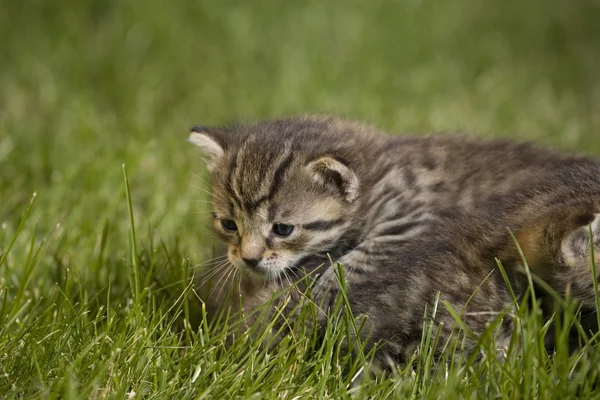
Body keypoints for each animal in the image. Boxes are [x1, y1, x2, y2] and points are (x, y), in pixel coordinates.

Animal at [189, 115, 600, 362]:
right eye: (229, 224)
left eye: (283, 229)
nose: (248, 259)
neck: (378, 174)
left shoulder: (410, 220)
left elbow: (360, 261)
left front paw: (325, 290)